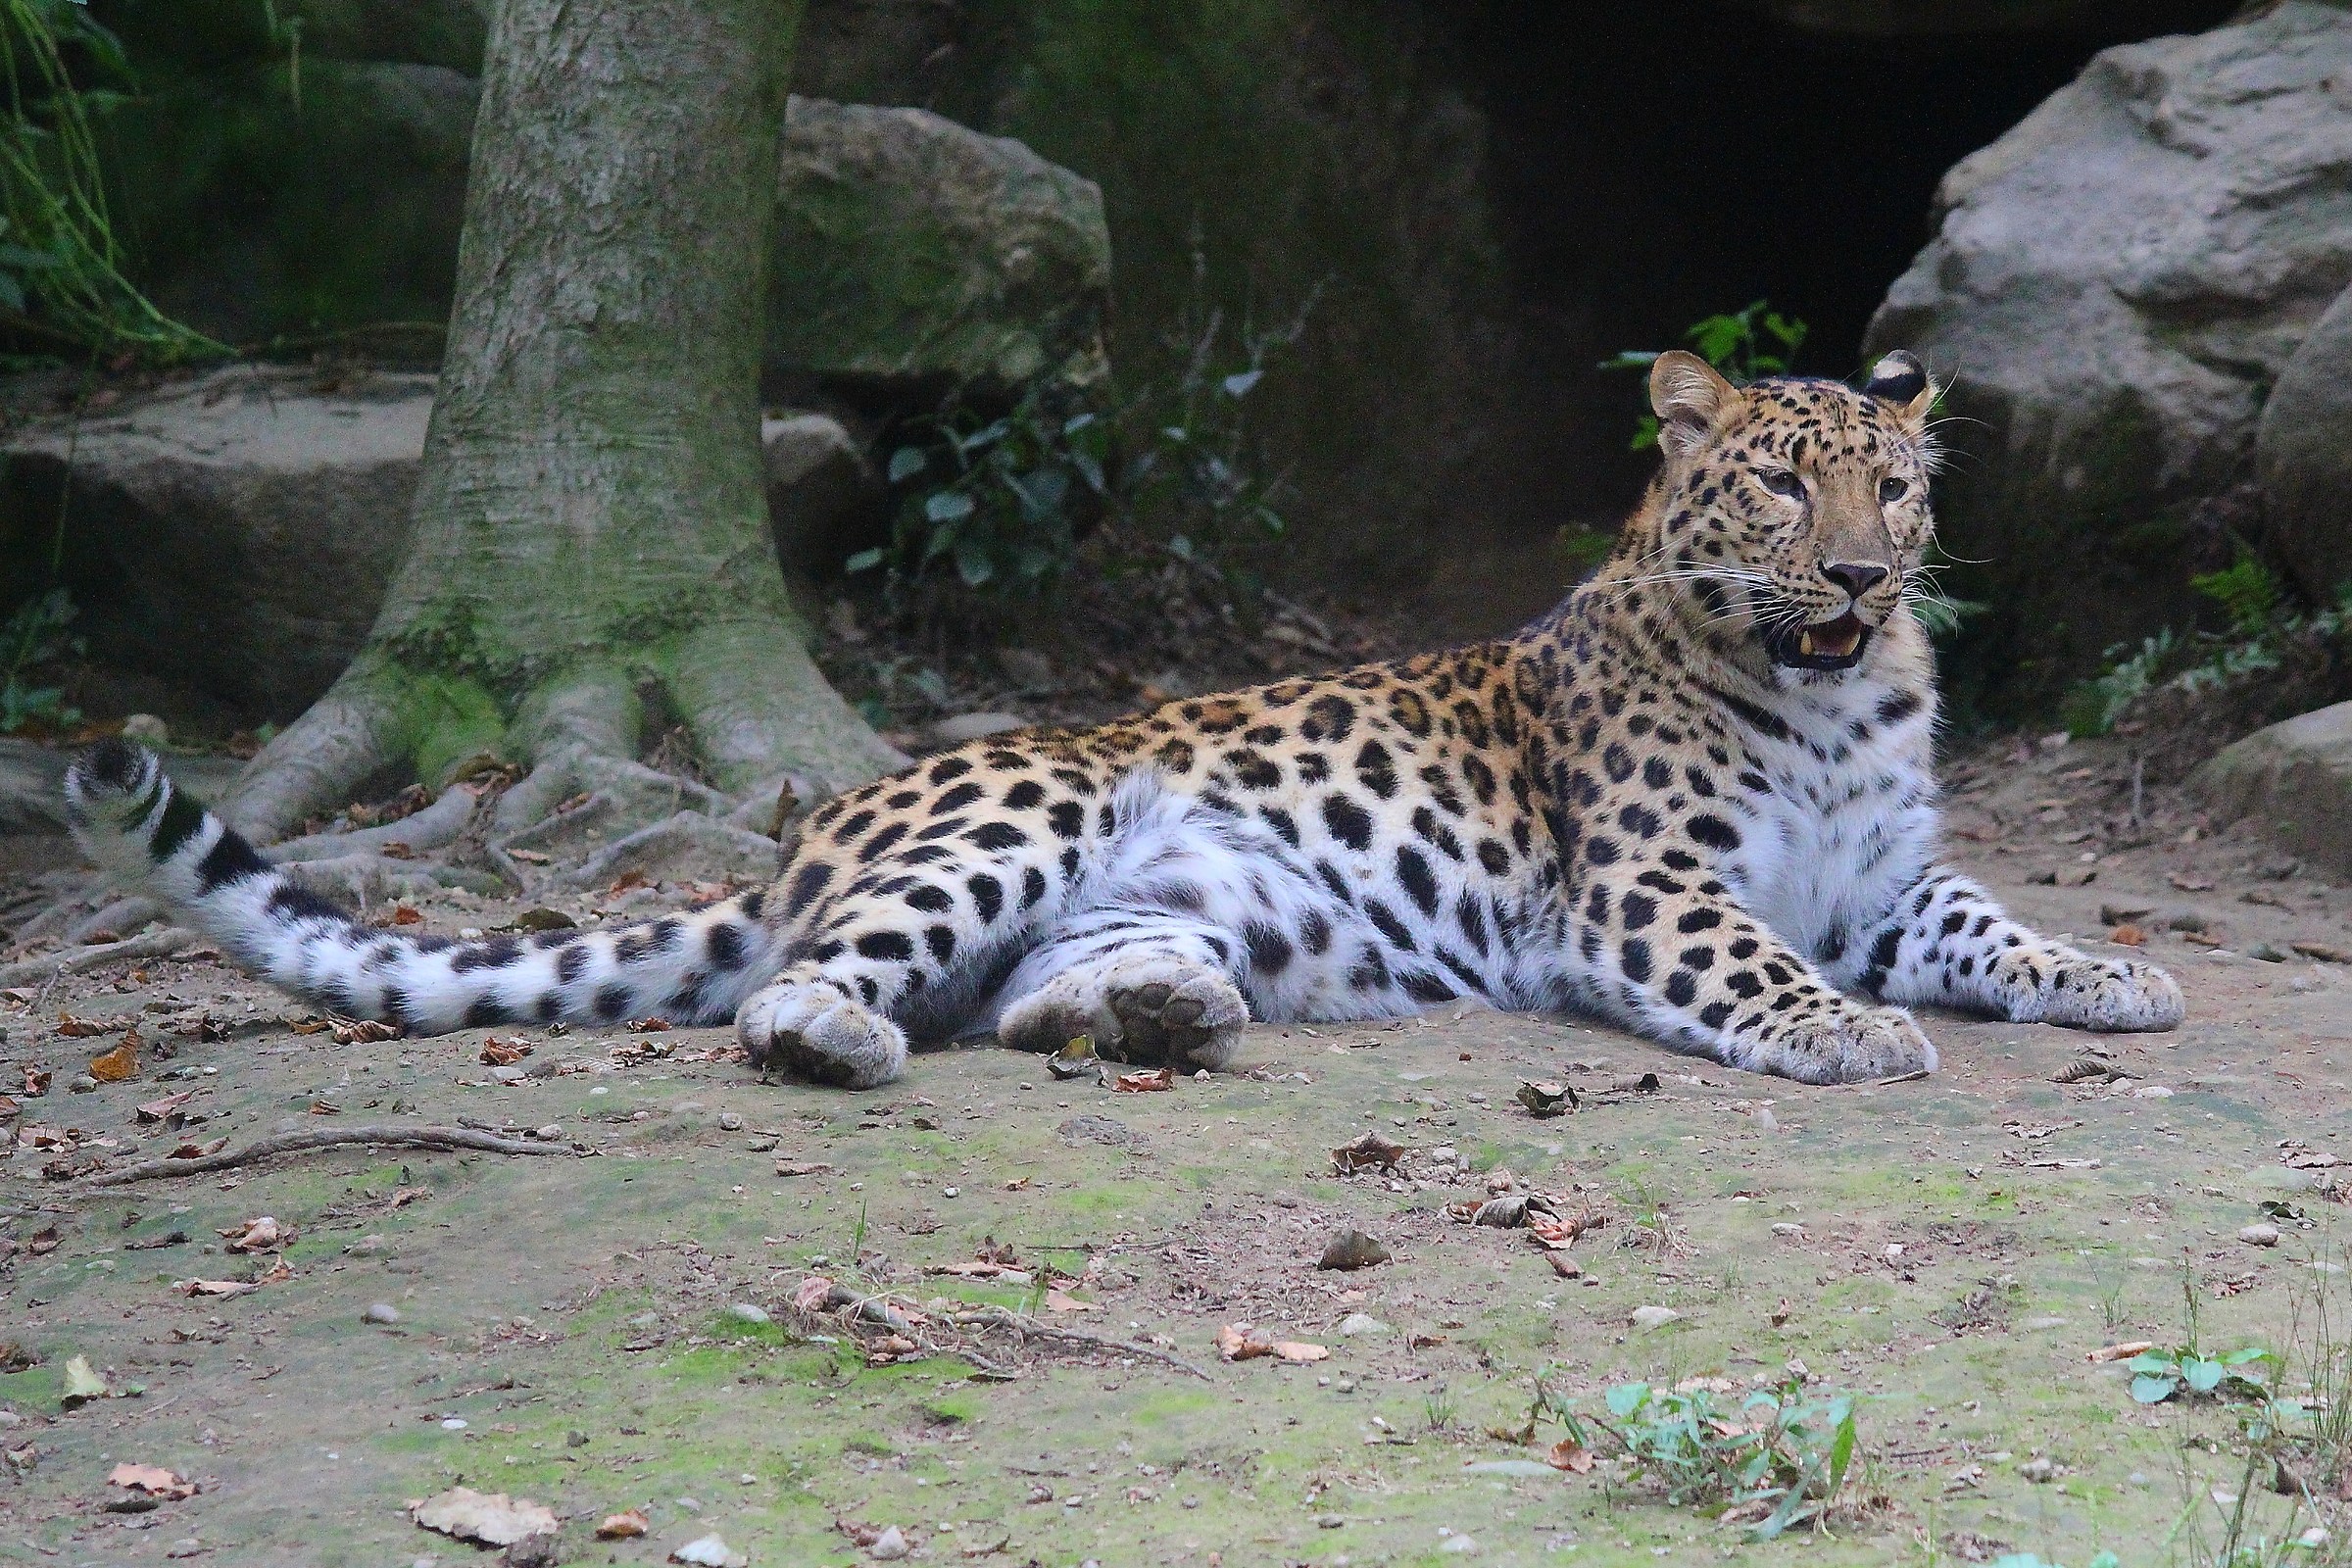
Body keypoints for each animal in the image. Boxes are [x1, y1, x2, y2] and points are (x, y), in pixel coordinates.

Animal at [63, 348, 2183, 1090]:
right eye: (1778, 495)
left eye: (1895, 491)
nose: (1863, 582)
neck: (1835, 703)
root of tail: (815, 832)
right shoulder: (1656, 892)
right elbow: (1767, 963)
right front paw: (1860, 1033)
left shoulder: (1889, 881)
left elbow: (1997, 920)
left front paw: (2116, 975)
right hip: (1025, 816)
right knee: (814, 986)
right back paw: (840, 1031)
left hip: (1198, 897)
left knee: (1015, 994)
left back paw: (1154, 1010)